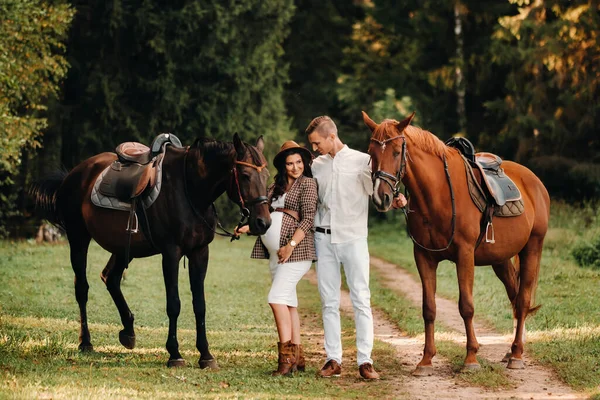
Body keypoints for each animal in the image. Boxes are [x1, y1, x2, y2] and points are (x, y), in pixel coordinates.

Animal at [30, 134, 270, 368]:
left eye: (267, 176)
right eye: (245, 175)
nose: (263, 222)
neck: (190, 190)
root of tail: (74, 174)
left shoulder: (200, 252)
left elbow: (199, 305)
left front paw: (206, 355)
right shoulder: (171, 253)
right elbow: (174, 304)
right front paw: (174, 354)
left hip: (122, 248)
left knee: (111, 278)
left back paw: (128, 331)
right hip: (78, 238)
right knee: (82, 288)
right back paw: (86, 342)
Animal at [364, 111, 552, 376]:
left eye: (396, 152)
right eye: (371, 152)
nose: (382, 198)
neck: (438, 193)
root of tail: (535, 182)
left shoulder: (464, 255)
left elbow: (466, 306)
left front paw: (471, 358)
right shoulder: (424, 256)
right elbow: (429, 308)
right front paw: (426, 360)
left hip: (532, 248)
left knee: (523, 299)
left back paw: (516, 354)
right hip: (501, 259)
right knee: (514, 298)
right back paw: (512, 351)